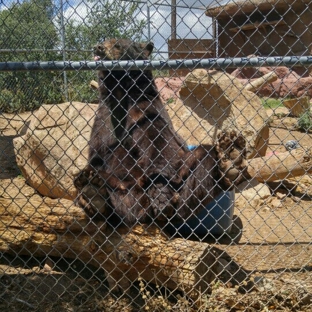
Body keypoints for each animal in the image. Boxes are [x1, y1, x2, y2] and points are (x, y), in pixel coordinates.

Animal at [73, 39, 246, 227]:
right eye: (104, 41)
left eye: (117, 44)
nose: (98, 48)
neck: (121, 90)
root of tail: (141, 214)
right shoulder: (106, 117)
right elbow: (99, 152)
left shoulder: (144, 110)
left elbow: (158, 144)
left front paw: (162, 198)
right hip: (123, 190)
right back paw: (93, 194)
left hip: (180, 177)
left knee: (202, 158)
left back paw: (230, 161)